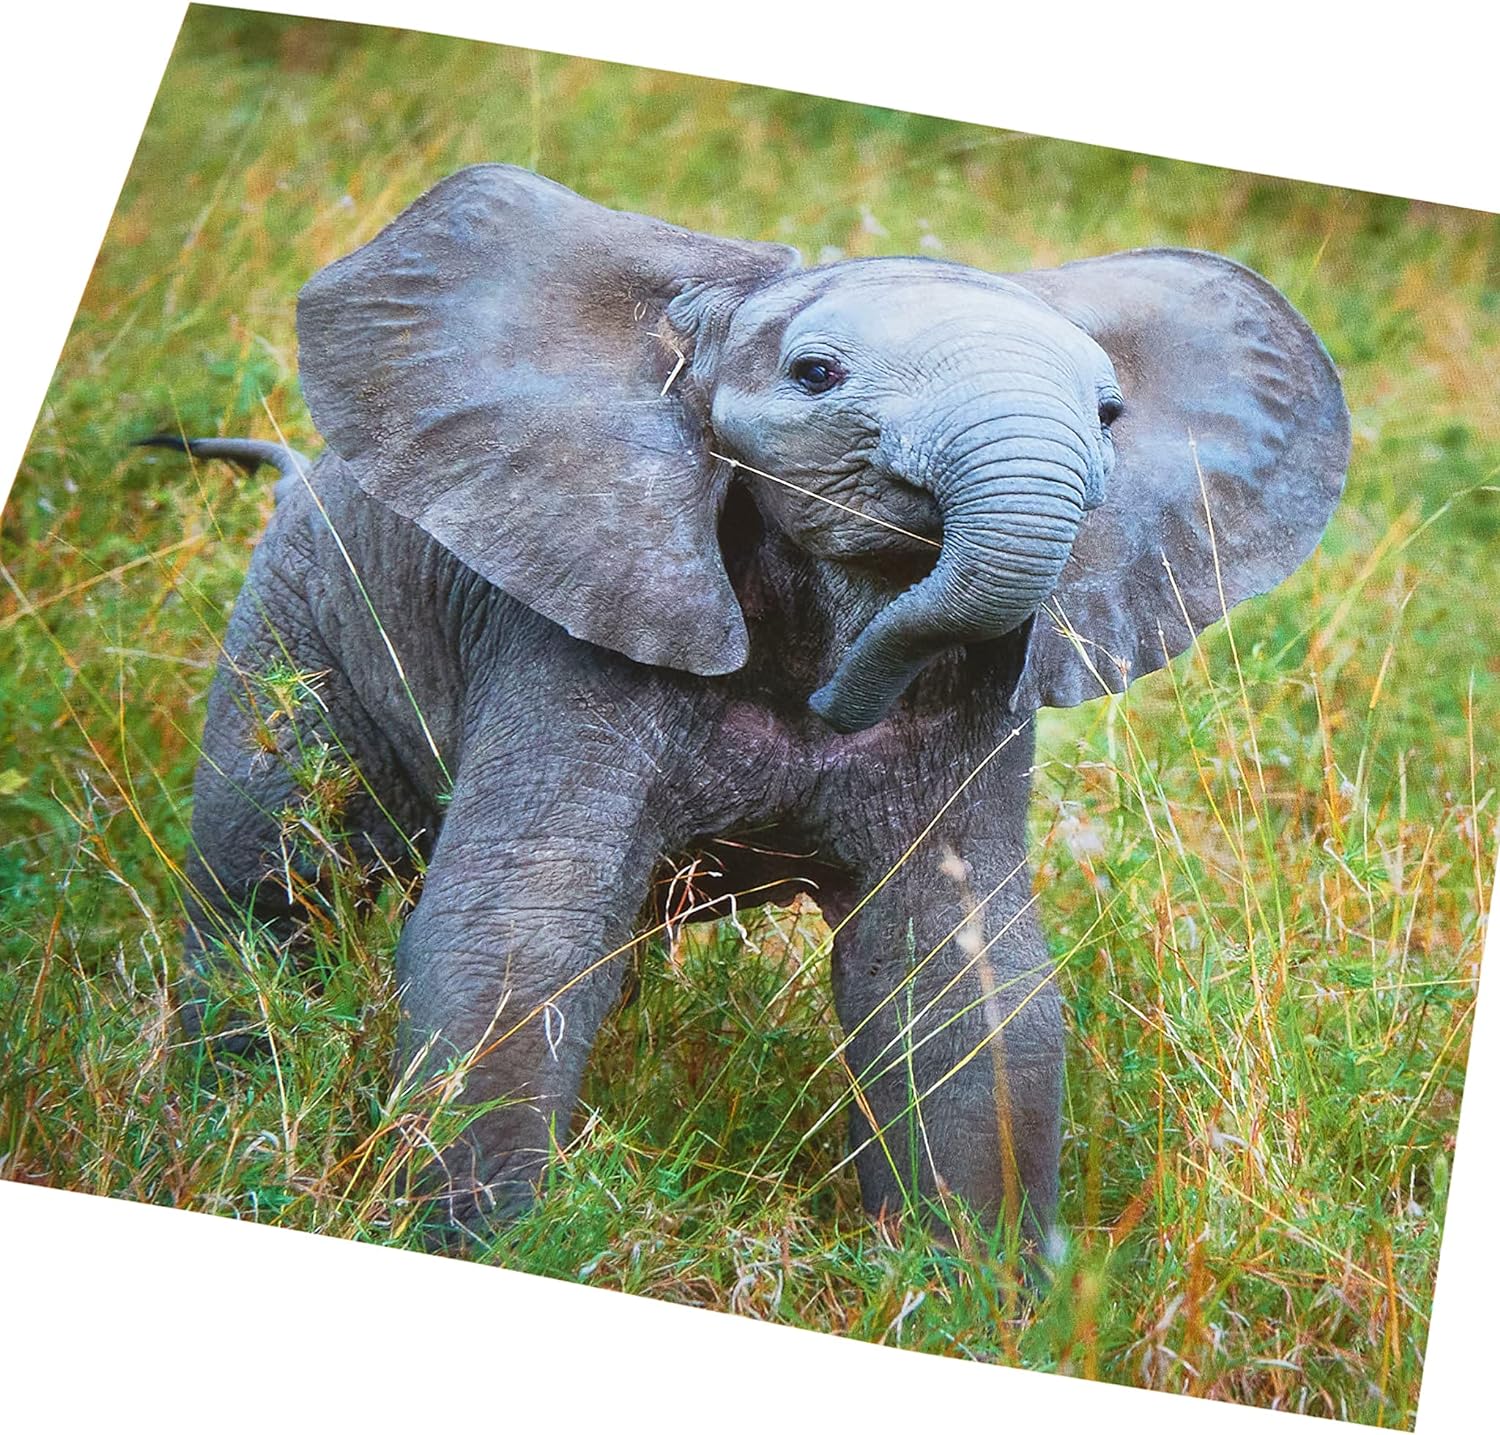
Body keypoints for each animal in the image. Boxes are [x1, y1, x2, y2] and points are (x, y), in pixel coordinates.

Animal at [147, 164, 1348, 1254]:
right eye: (815, 375)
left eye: (1109, 414)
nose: (837, 703)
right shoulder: (576, 616)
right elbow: (522, 931)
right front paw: (473, 1241)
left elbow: (959, 981)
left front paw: (980, 1298)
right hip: (297, 619)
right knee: (271, 876)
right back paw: (224, 1095)